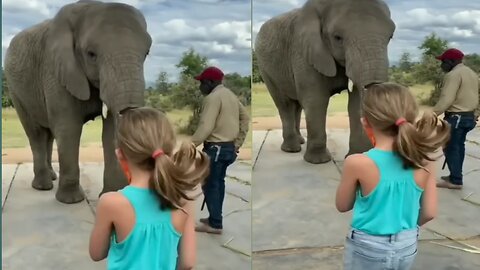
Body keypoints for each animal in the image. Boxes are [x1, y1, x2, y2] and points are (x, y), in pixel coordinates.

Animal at [2, 0, 151, 202]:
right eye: (91, 54)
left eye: (147, 53)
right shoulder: (55, 70)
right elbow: (69, 128)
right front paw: (70, 201)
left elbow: (109, 130)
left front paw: (110, 197)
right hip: (16, 89)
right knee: (36, 133)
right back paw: (43, 186)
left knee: (49, 134)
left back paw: (52, 177)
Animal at [256, 0, 396, 162]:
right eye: (337, 37)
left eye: (390, 37)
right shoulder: (304, 51)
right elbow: (316, 100)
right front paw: (318, 161)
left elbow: (354, 103)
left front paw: (356, 158)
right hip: (265, 69)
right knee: (284, 104)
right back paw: (291, 149)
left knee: (297, 105)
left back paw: (300, 141)